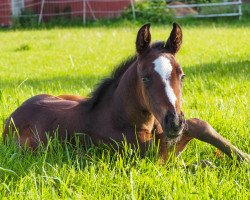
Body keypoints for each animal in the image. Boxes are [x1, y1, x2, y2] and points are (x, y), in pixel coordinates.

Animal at [2, 23, 250, 163]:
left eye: (182, 75)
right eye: (145, 77)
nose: (174, 123)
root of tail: (11, 117)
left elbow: (198, 125)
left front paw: (242, 158)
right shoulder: (148, 157)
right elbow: (187, 146)